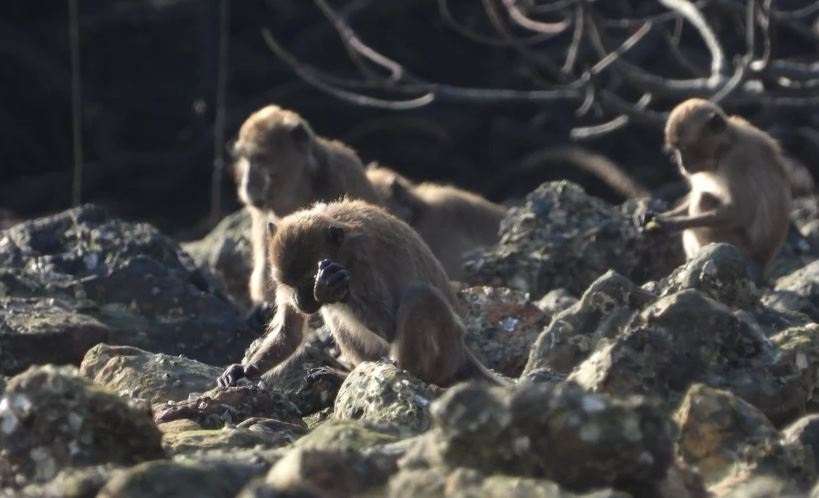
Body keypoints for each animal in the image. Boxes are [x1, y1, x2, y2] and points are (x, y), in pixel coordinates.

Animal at [217, 199, 504, 388]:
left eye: (308, 282)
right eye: (290, 284)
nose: (299, 300)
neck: (342, 247)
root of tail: (463, 352)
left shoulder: (361, 265)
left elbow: (389, 326)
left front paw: (328, 287)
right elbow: (290, 333)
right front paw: (244, 370)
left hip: (445, 351)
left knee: (420, 295)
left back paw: (412, 373)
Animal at [644, 98, 792, 274]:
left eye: (684, 148)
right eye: (676, 150)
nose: (681, 164)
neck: (725, 147)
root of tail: (762, 261)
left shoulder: (736, 161)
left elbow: (740, 213)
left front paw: (672, 224)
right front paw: (656, 215)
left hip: (740, 247)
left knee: (703, 199)